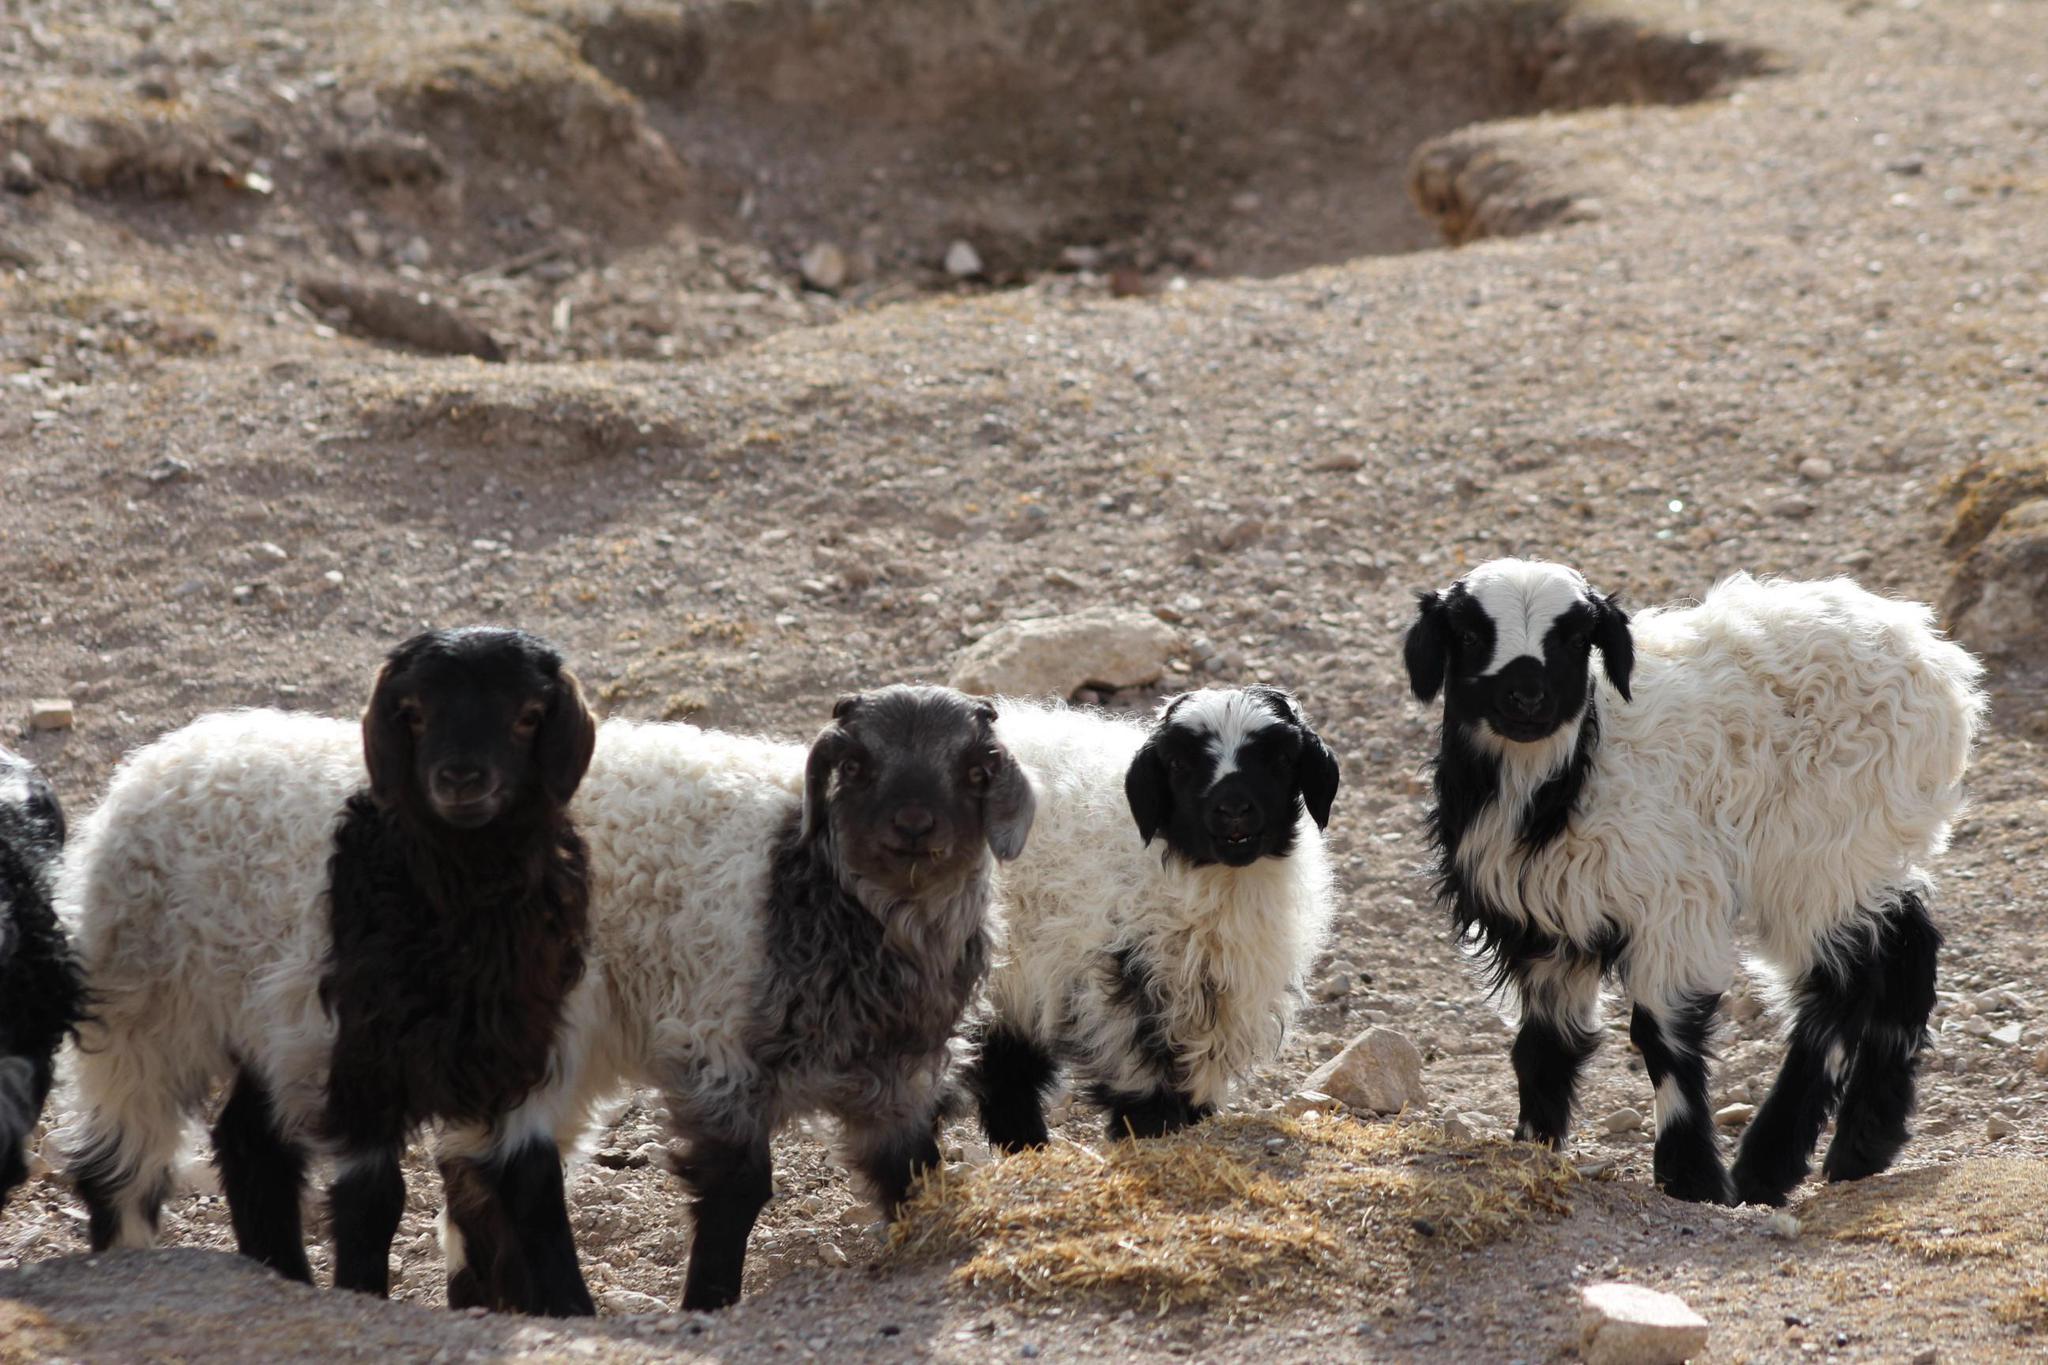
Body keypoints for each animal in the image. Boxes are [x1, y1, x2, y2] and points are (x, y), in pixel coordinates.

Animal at [58, 630, 598, 1309]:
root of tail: (159, 755)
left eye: (528, 715)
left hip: (267, 1023)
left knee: (248, 1145)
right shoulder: (356, 1057)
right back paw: (131, 1264)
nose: (460, 779)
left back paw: (281, 1277)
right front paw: (363, 1295)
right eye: (413, 712)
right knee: (122, 1158)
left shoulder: (513, 1048)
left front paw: (574, 1311)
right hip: (143, 1006)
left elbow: (535, 1188)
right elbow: (374, 1200)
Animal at [962, 687, 1343, 1146]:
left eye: (1283, 759)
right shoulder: (1121, 969)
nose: (1233, 808)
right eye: (1178, 764)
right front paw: (1152, 1132)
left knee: (1005, 1072)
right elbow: (1141, 1069)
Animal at [1409, 560, 1982, 1203]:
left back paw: (1769, 1165)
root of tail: (1931, 654)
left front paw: (1691, 1177)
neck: (1561, 784)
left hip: (1822, 842)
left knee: (1842, 985)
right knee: (1908, 944)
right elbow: (1542, 1047)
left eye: (1577, 638)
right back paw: (1865, 1144)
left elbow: (1663, 1035)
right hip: (1865, 851)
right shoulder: (1544, 914)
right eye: (1469, 633)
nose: (1528, 696)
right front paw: (1530, 1153)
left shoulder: (1670, 896)